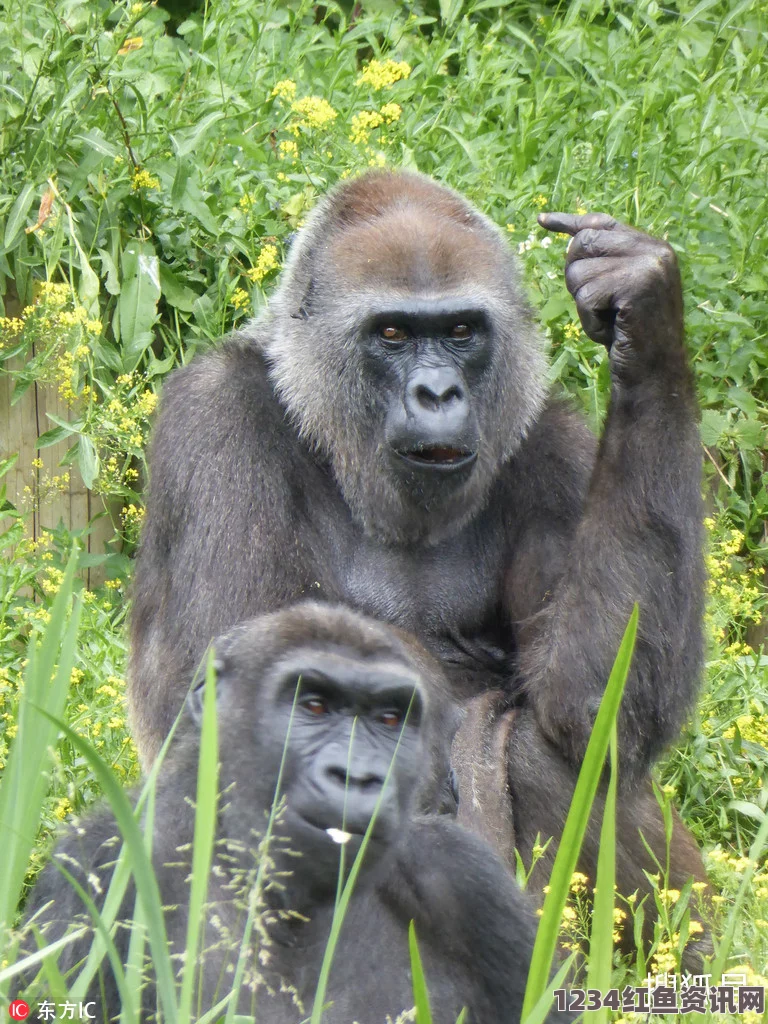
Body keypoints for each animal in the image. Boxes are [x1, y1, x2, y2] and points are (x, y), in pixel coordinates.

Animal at [131, 172, 708, 909]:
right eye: (393, 334)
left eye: (461, 331)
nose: (438, 392)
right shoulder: (214, 417)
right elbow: (222, 696)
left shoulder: (552, 442)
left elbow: (592, 707)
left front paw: (643, 315)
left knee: (553, 753)